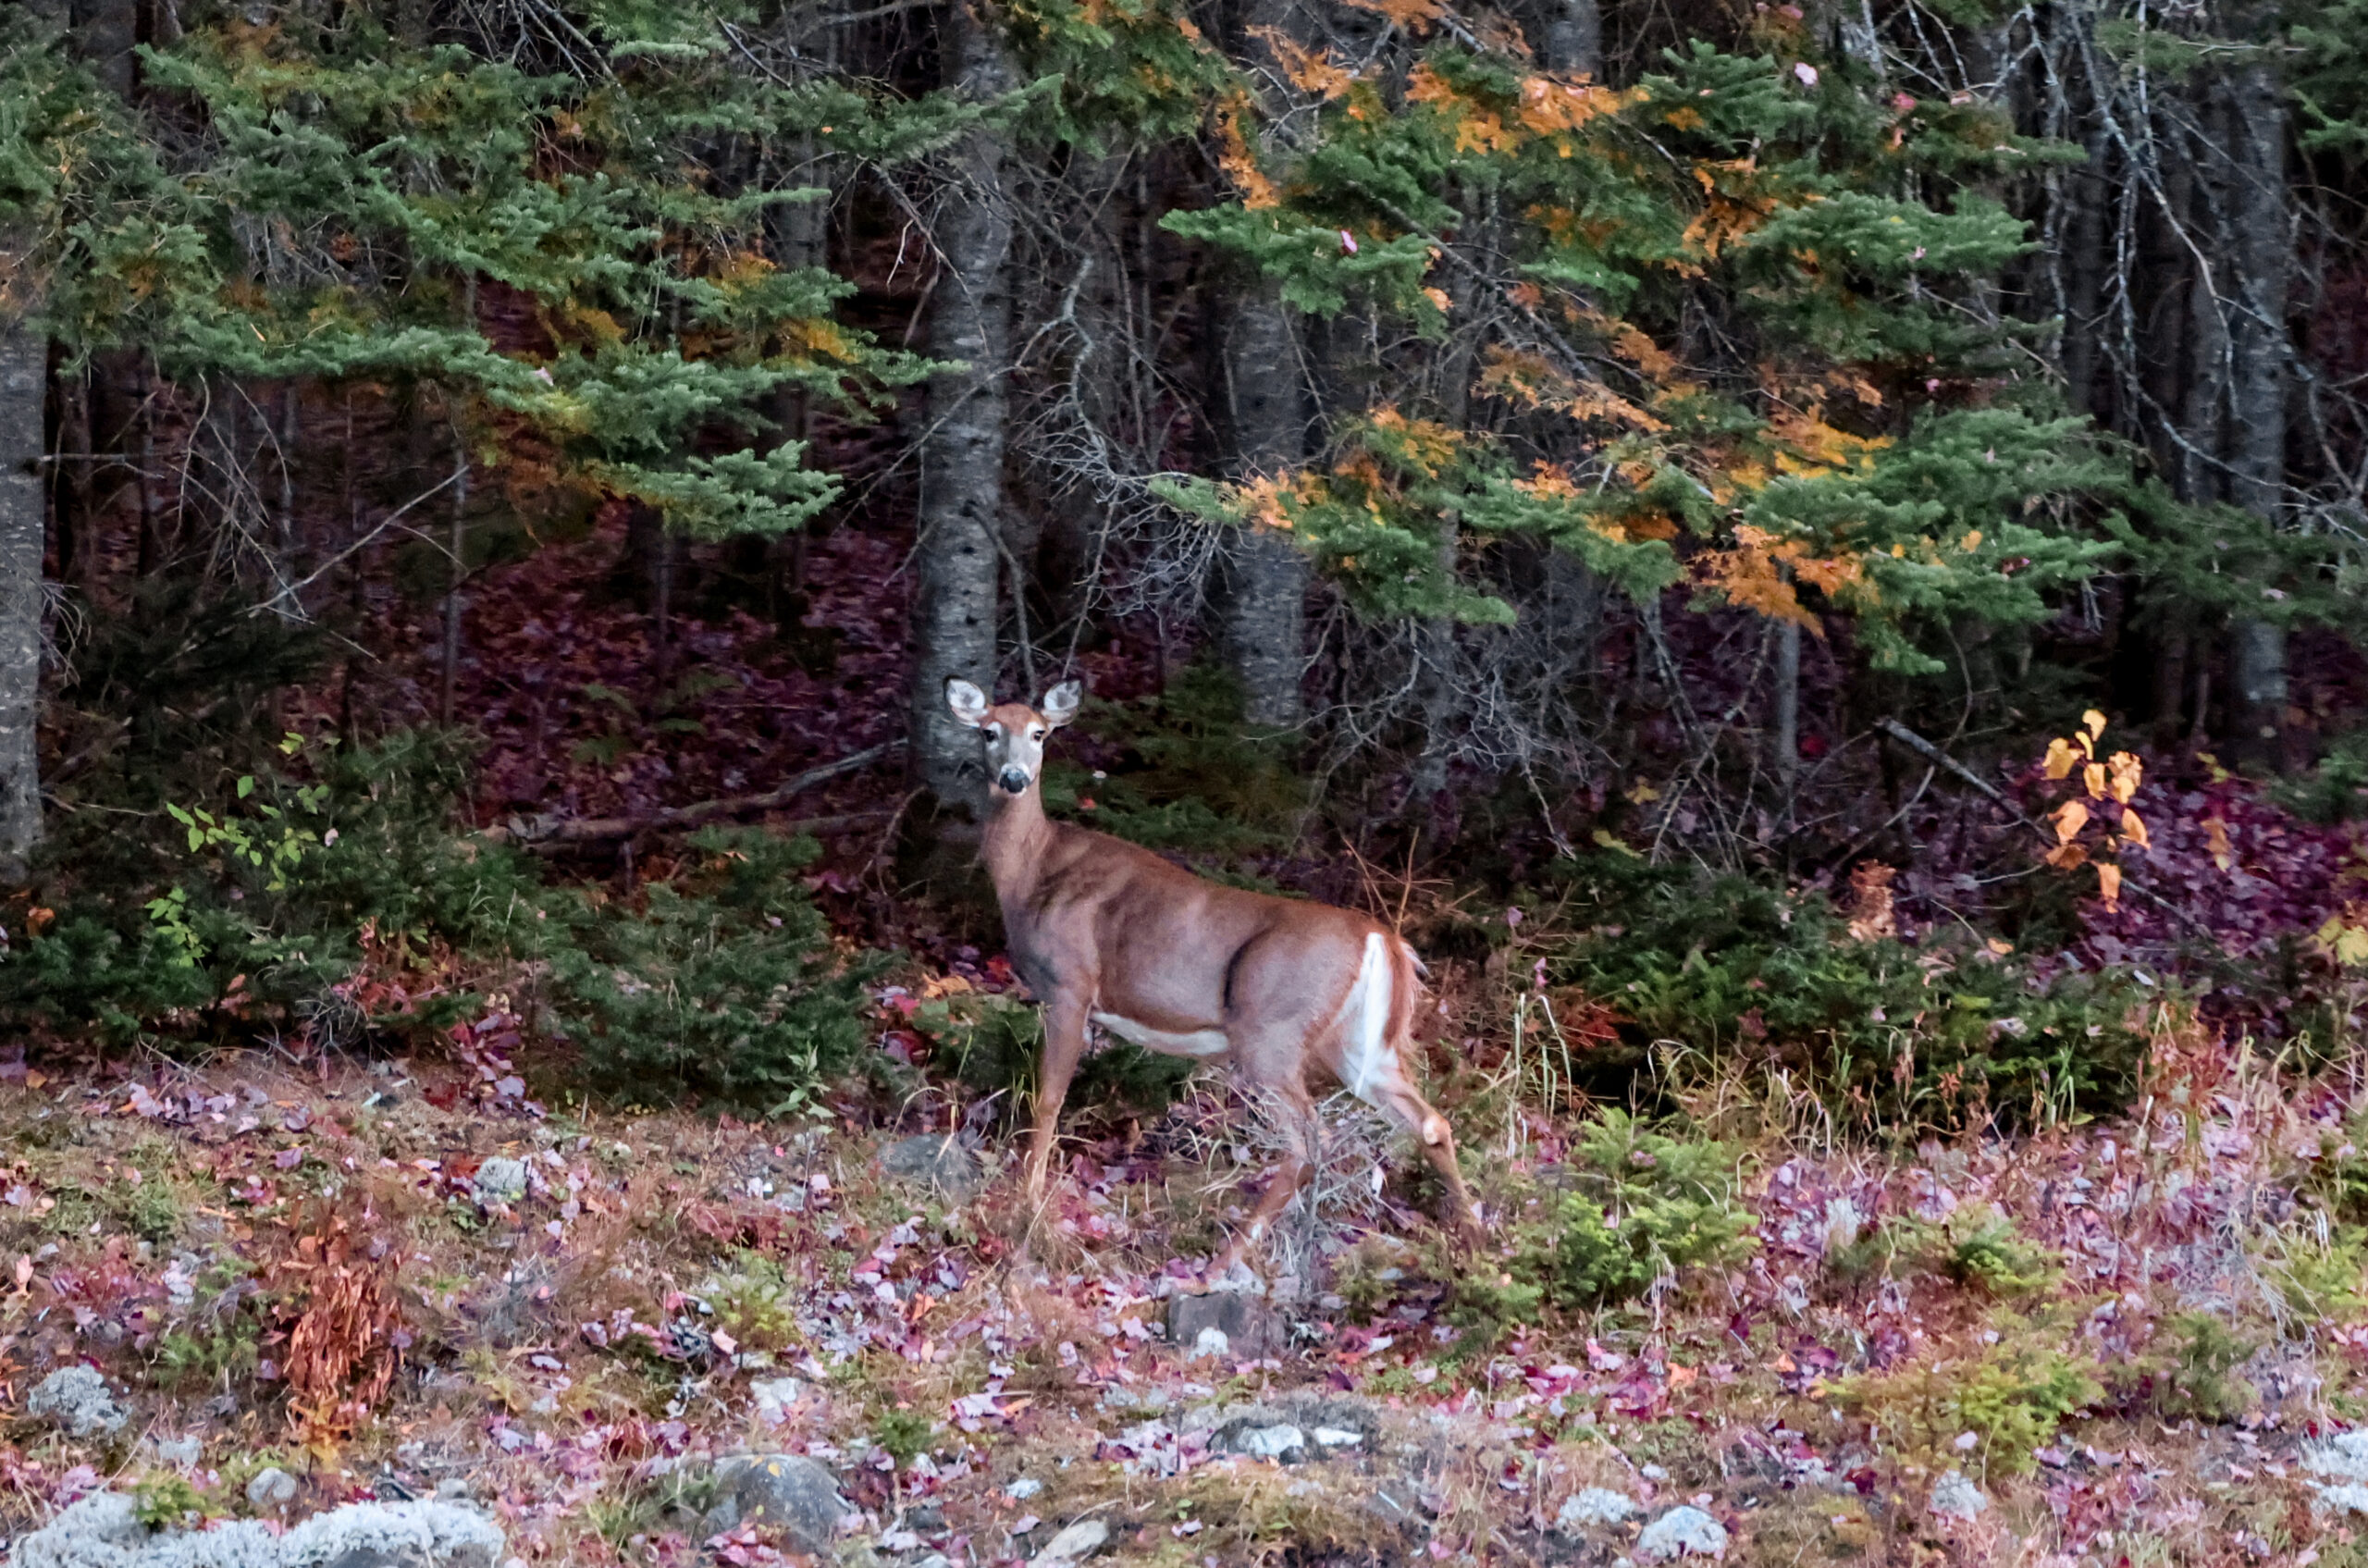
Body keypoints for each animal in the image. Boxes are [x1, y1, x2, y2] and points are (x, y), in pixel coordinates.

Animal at [945, 676, 1481, 1272]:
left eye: (1040, 733)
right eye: (990, 732)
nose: (1014, 778)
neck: (1032, 873)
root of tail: (1382, 940)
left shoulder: (1070, 985)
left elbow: (1049, 1098)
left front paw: (1030, 1204)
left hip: (1271, 1030)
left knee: (1308, 1139)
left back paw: (1224, 1260)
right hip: (1358, 1043)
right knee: (1429, 1121)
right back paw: (1478, 1245)